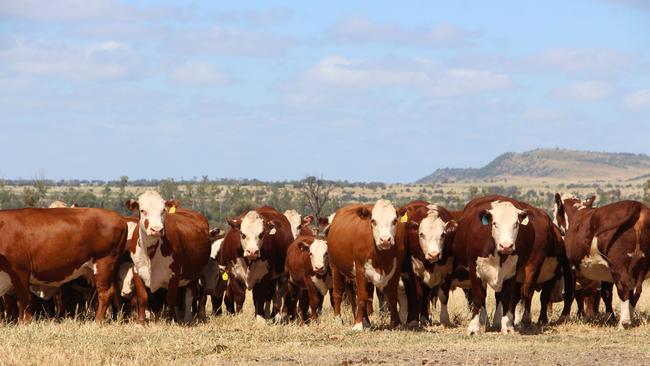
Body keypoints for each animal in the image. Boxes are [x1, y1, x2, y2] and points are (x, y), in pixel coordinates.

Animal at [124, 192, 210, 324]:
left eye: (163, 210)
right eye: (143, 210)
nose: (157, 230)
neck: (151, 253)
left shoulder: (174, 274)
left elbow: (171, 299)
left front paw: (173, 320)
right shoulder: (136, 270)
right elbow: (142, 296)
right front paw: (141, 322)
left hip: (194, 274)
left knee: (189, 295)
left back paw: (187, 319)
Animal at [330, 200, 404, 332]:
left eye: (394, 220)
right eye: (373, 221)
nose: (385, 240)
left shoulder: (395, 271)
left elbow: (391, 296)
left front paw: (396, 323)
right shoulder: (360, 271)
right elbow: (362, 297)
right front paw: (358, 324)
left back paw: (367, 322)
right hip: (336, 268)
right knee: (338, 294)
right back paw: (338, 319)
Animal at [552, 193, 648, 328]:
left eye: (553, 210)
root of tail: (639, 206)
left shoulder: (570, 265)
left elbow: (569, 292)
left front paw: (563, 317)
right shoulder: (606, 270)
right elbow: (606, 294)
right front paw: (610, 318)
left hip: (619, 265)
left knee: (625, 287)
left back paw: (624, 322)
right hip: (641, 266)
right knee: (636, 290)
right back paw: (630, 318)